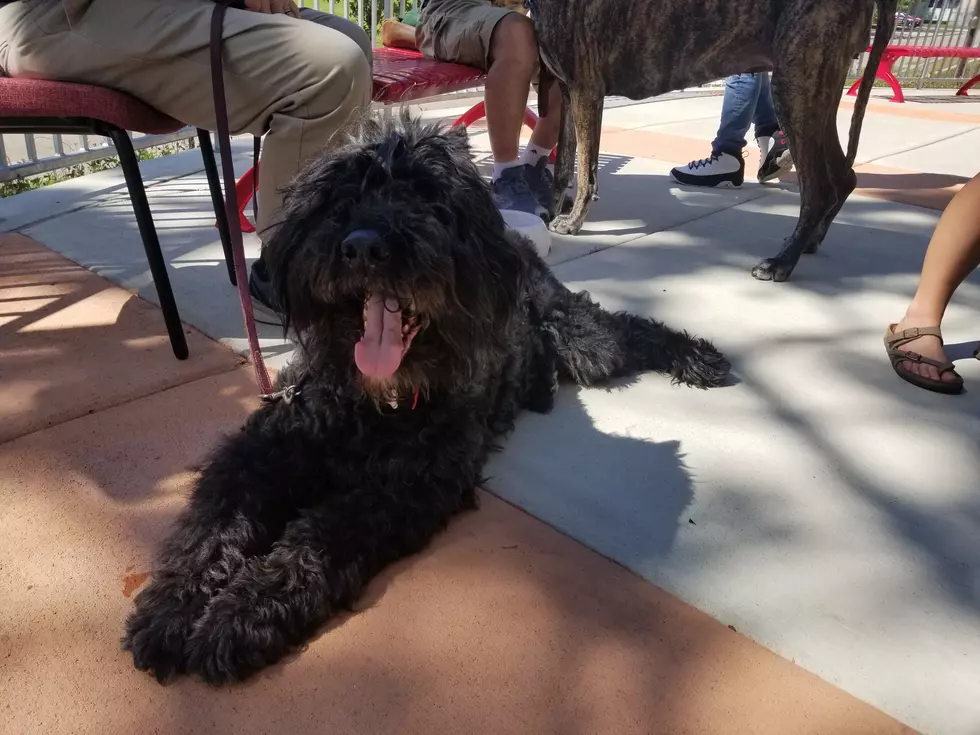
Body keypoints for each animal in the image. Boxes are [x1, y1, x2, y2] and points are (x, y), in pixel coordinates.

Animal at [122, 113, 732, 684]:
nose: (364, 245)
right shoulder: (259, 452)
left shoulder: (406, 487)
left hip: (584, 341)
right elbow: (211, 526)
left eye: (428, 198)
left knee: (626, 329)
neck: (373, 405)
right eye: (340, 198)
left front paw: (242, 615)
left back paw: (698, 358)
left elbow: (317, 537)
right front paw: (174, 607)